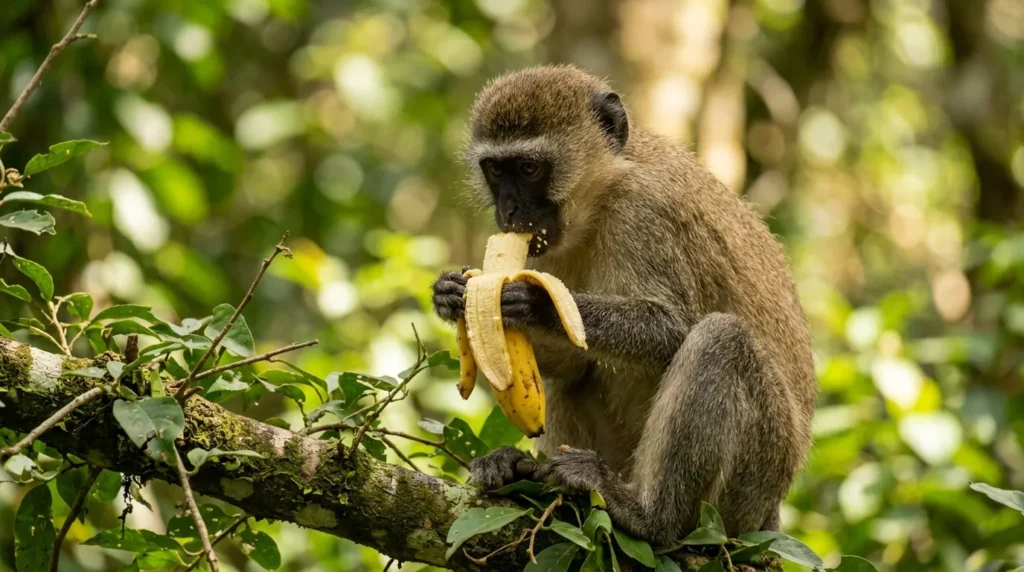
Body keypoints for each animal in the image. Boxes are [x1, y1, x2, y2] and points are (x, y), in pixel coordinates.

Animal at [431, 64, 817, 546]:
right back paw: (525, 470)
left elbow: (672, 327)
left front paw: (537, 302)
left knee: (721, 339)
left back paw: (648, 515)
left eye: (529, 167)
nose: (510, 210)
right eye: (496, 171)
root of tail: (770, 512)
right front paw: (449, 295)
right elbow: (573, 361)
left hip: (753, 479)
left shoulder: (647, 213)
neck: (604, 193)